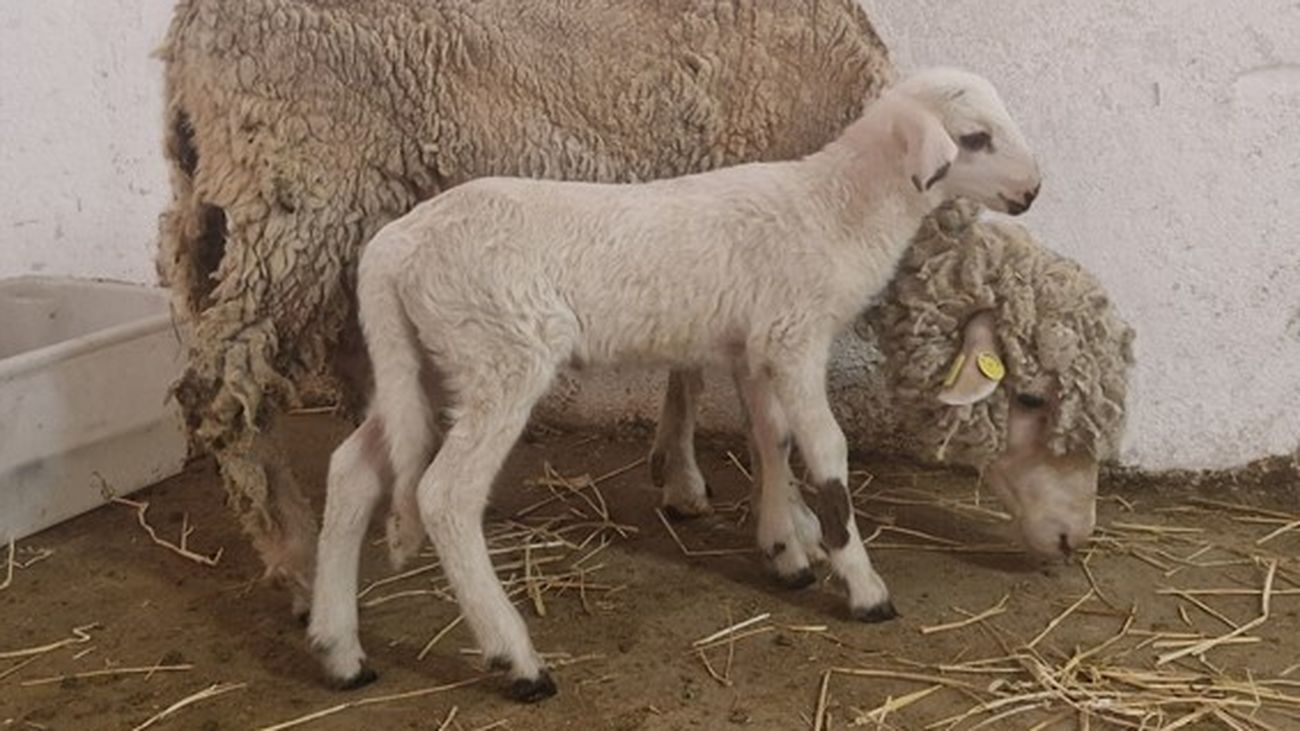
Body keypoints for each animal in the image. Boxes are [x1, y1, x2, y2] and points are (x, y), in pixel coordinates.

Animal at [157, 0, 894, 613]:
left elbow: (689, 368)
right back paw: (298, 560)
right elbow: (764, 412)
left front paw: (683, 477)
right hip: (300, 194)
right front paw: (793, 526)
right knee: (221, 387)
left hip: (248, 208)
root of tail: (189, 32)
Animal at [309, 69, 1040, 702]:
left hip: (427, 361)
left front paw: (785, 546)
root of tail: (395, 246)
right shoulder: (795, 336)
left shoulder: (754, 344)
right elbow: (827, 453)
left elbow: (771, 440)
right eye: (975, 137)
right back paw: (516, 659)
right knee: (444, 493)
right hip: (500, 351)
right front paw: (861, 583)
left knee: (352, 469)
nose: (1033, 192)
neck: (836, 209)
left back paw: (339, 649)